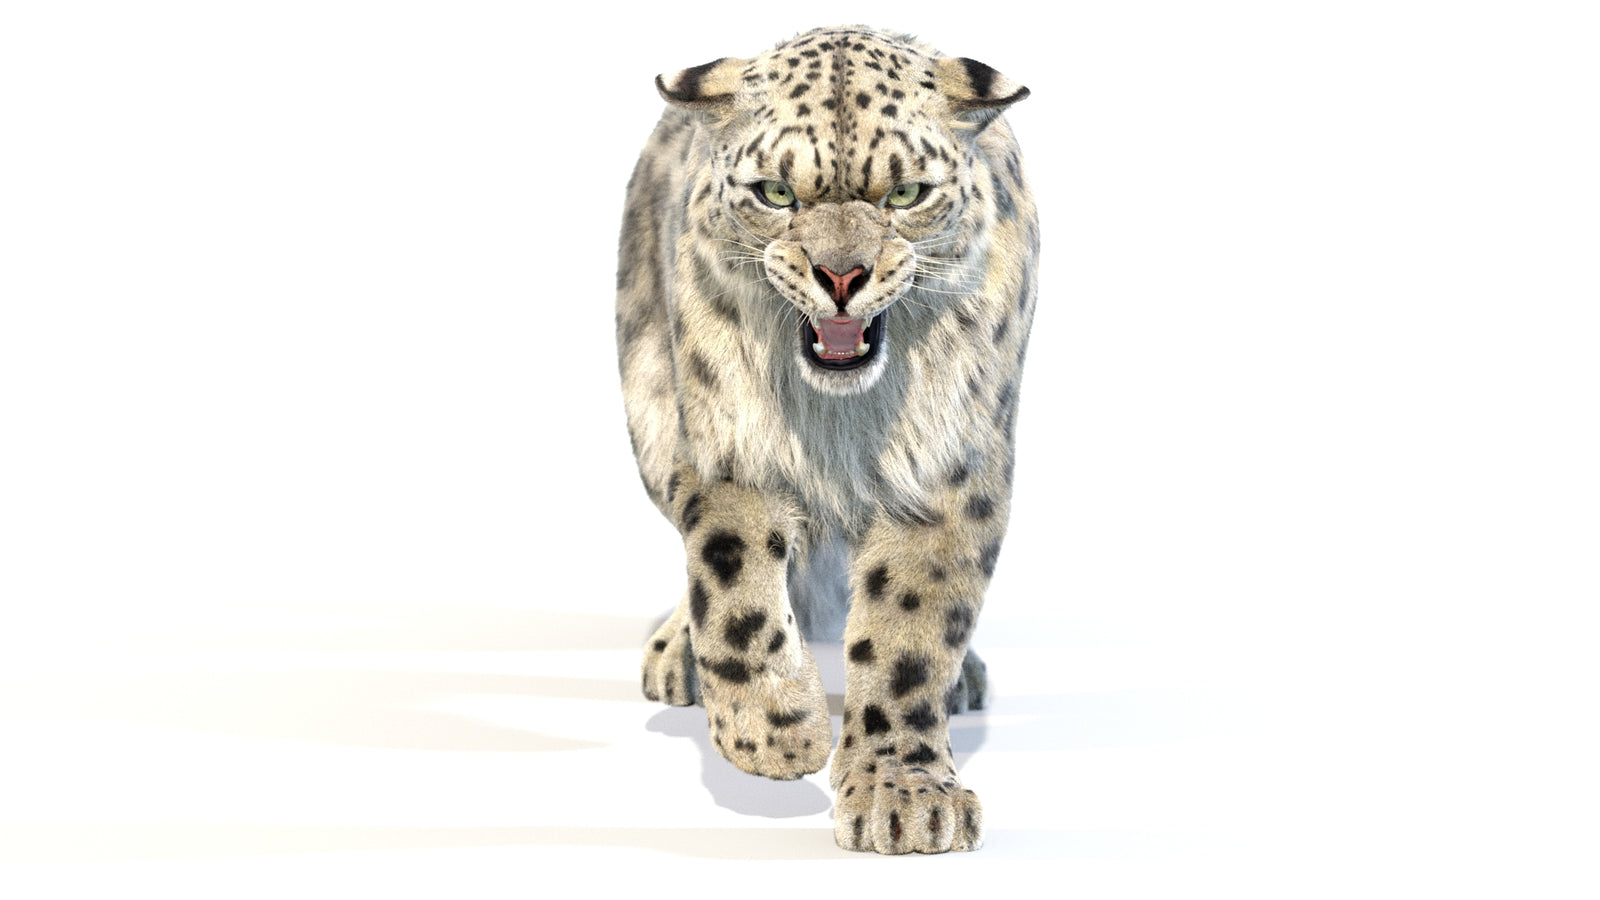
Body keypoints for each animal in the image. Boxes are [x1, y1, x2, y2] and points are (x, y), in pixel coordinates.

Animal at [615, 25, 1037, 855]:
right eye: (777, 193)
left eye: (905, 194)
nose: (841, 276)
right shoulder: (730, 447)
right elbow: (736, 597)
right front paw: (779, 735)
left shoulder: (944, 468)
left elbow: (909, 629)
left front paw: (905, 798)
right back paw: (678, 655)